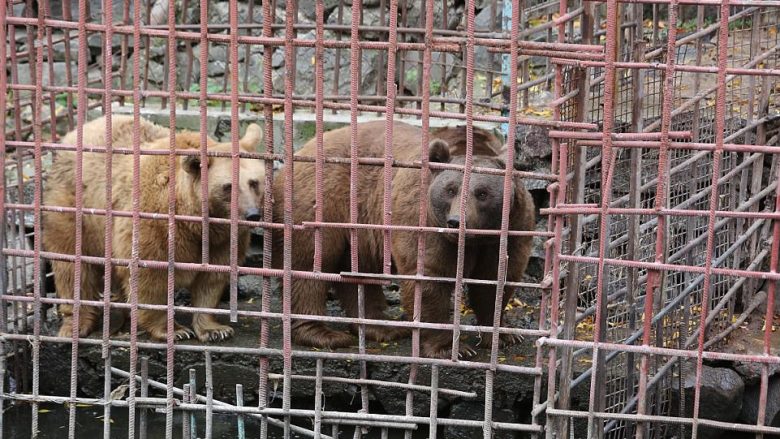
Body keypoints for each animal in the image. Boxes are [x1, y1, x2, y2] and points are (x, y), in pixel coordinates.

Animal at [44, 117, 266, 344]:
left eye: (254, 182)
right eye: (228, 186)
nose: (252, 214)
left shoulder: (222, 240)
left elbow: (211, 280)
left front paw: (215, 329)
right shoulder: (154, 225)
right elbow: (149, 278)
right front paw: (174, 330)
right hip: (75, 211)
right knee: (73, 268)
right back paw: (76, 325)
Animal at [272, 119, 532, 358]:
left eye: (482, 193)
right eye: (450, 189)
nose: (456, 221)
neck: (475, 240)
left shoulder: (512, 229)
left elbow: (496, 281)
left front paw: (505, 335)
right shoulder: (423, 220)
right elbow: (429, 279)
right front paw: (450, 348)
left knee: (359, 275)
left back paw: (382, 328)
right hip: (321, 200)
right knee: (308, 264)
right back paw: (324, 334)